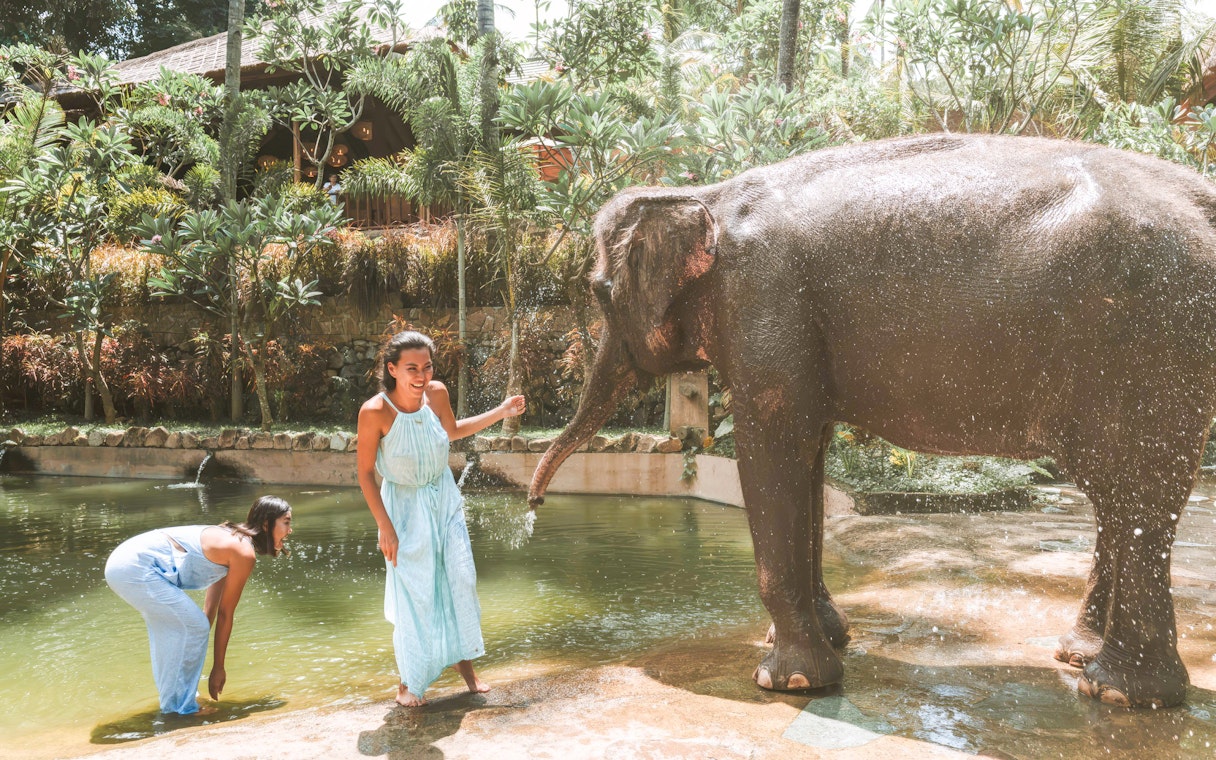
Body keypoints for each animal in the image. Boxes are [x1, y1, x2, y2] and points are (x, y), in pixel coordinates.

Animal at [528, 133, 1216, 709]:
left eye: (599, 292)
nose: (532, 506)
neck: (708, 193)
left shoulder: (764, 303)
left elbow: (771, 447)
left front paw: (789, 680)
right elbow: (809, 451)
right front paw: (830, 638)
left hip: (1154, 343)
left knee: (1137, 492)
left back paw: (1120, 693)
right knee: (1118, 495)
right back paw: (1083, 660)